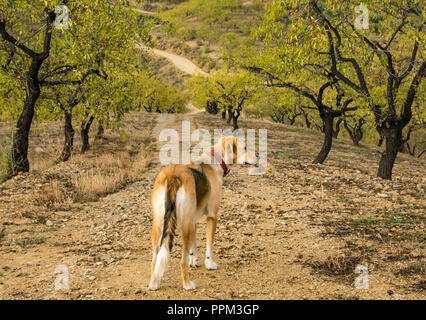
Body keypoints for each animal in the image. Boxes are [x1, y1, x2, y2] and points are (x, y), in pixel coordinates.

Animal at [148, 135, 258, 290]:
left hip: (160, 224)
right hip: (185, 225)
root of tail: (173, 176)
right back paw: (187, 284)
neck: (217, 159)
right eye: (246, 147)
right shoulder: (212, 216)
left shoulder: (193, 220)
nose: (258, 156)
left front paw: (194, 261)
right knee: (182, 261)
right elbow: (209, 244)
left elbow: (193, 246)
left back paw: (153, 283)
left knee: (155, 260)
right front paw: (209, 263)